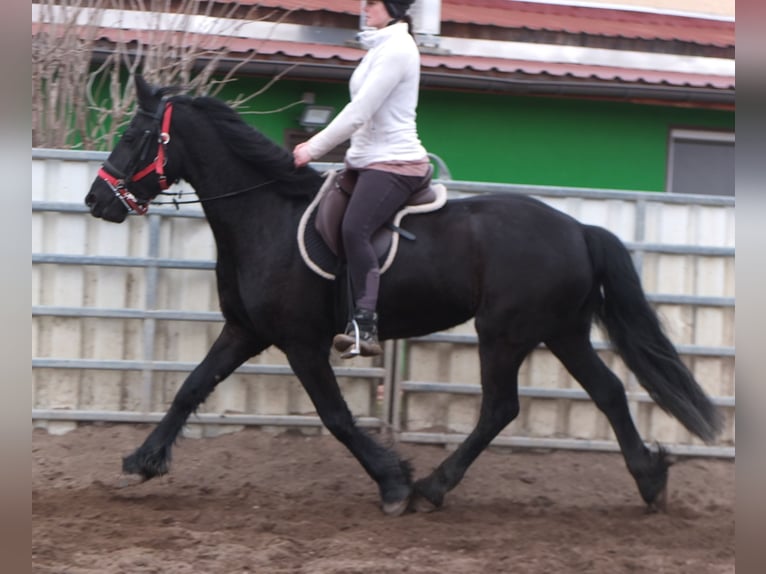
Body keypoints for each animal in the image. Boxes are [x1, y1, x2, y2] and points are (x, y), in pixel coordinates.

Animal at [87, 76, 724, 516]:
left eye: (132, 136)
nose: (97, 201)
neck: (266, 215)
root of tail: (579, 230)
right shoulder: (246, 331)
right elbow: (190, 388)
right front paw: (141, 463)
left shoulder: (300, 343)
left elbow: (337, 417)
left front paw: (393, 483)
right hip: (560, 331)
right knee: (609, 392)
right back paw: (650, 481)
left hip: (505, 333)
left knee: (501, 407)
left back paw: (431, 488)